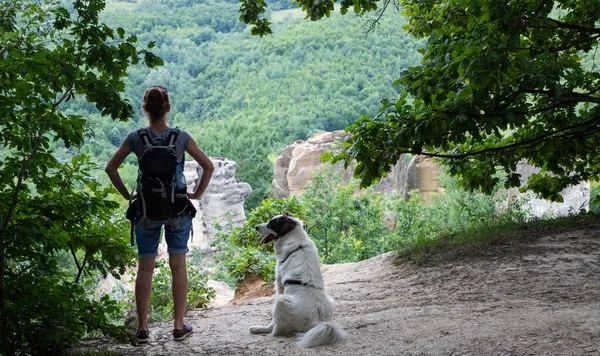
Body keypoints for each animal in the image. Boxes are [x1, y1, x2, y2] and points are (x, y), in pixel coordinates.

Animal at [247, 214, 346, 348]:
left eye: (271, 224)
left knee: (277, 329)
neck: (297, 240)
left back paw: (259, 329)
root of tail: (319, 322)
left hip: (281, 301)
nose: (256, 227)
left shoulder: (279, 284)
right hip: (331, 299)